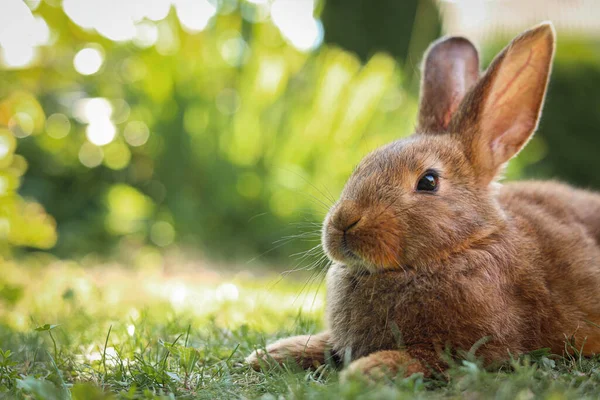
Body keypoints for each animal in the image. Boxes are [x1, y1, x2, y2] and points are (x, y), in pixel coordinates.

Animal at [245, 22, 600, 382]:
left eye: (428, 181)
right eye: (363, 164)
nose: (343, 223)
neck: (462, 246)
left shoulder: (468, 350)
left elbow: (420, 360)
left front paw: (367, 370)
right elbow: (323, 345)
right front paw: (270, 354)